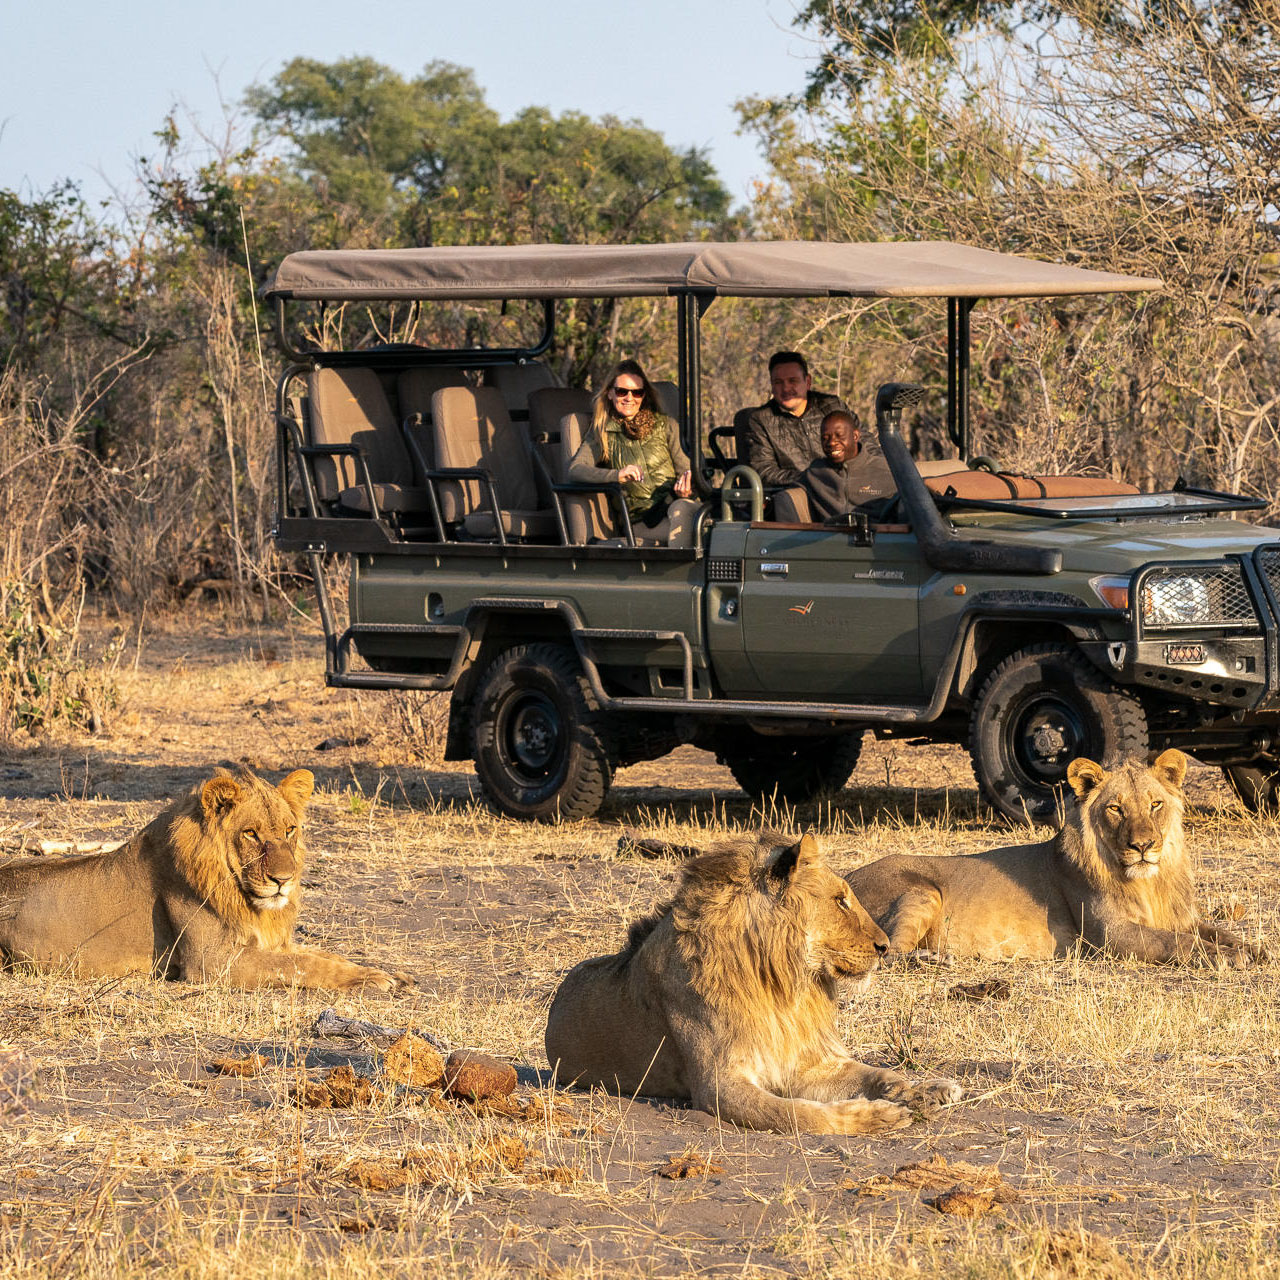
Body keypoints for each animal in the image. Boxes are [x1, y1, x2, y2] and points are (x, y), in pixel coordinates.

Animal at [0, 762, 407, 993]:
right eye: (251, 834)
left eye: (290, 830)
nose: (284, 880)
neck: (243, 895)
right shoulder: (212, 961)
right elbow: (300, 965)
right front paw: (369, 981)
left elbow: (323, 955)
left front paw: (384, 973)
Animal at [542, 834, 962, 1136]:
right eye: (841, 900)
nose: (885, 946)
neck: (781, 984)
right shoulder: (720, 1086)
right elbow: (797, 1115)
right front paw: (875, 1116)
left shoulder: (805, 1062)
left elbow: (879, 1074)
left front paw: (926, 1090)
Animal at [844, 747, 1254, 962]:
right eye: (1116, 808)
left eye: (1155, 804)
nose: (1142, 846)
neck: (1149, 883)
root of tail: (843, 878)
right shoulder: (1110, 936)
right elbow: (1177, 942)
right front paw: (1229, 957)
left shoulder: (1180, 917)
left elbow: (1217, 931)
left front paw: (1253, 950)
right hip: (921, 891)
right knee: (888, 954)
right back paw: (934, 958)